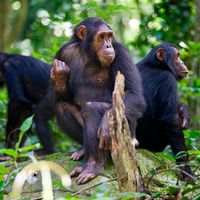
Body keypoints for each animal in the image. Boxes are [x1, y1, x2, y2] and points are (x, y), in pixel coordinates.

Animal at [50, 17, 145, 184]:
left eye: (109, 36)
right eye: (101, 37)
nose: (108, 45)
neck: (89, 54)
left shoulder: (121, 52)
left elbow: (133, 93)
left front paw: (106, 123)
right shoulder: (62, 53)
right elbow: (61, 98)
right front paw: (60, 75)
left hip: (128, 135)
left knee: (92, 108)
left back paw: (93, 166)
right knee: (62, 106)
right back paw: (84, 153)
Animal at [135, 43, 191, 177]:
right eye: (177, 56)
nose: (182, 62)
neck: (155, 65)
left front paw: (184, 109)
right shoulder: (168, 80)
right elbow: (171, 120)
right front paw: (187, 171)